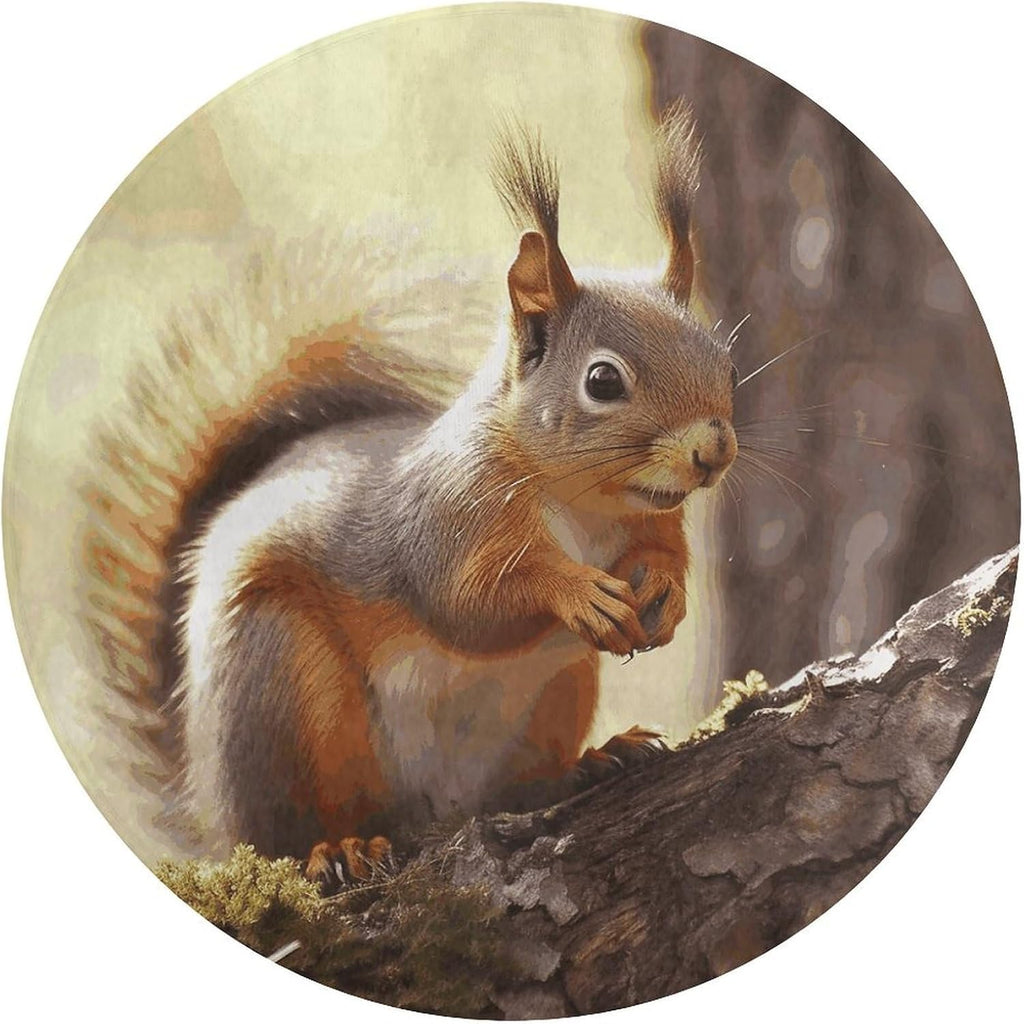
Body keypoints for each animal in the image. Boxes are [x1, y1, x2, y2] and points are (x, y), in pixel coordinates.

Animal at [82, 103, 737, 891]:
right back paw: (337, 848)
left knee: (519, 788)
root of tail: (210, 815)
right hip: (284, 689)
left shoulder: (652, 525)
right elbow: (470, 603)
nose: (713, 451)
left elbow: (659, 558)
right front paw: (577, 592)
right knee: (290, 831)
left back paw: (593, 761)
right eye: (603, 380)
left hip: (558, 693)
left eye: (723, 357)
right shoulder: (446, 518)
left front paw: (666, 594)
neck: (586, 503)